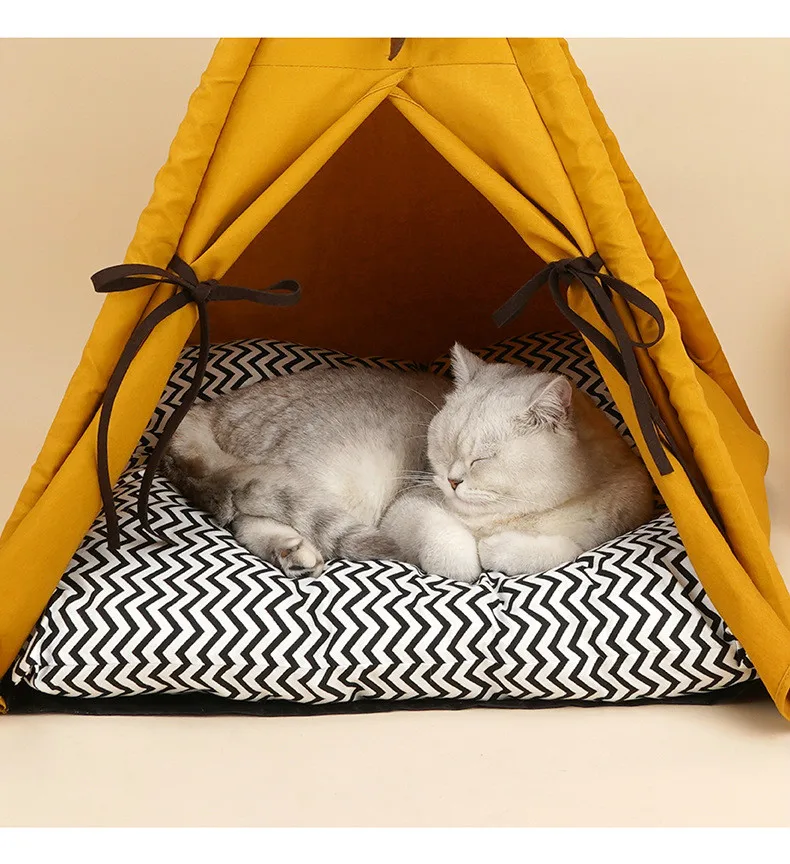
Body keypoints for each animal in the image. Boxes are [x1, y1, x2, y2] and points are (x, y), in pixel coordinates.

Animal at [162, 344, 656, 580]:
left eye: (481, 458)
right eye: (442, 449)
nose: (452, 481)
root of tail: (209, 407)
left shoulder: (614, 519)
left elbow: (562, 548)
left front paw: (501, 549)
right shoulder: (410, 505)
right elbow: (455, 552)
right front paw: (473, 556)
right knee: (247, 513)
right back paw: (293, 551)